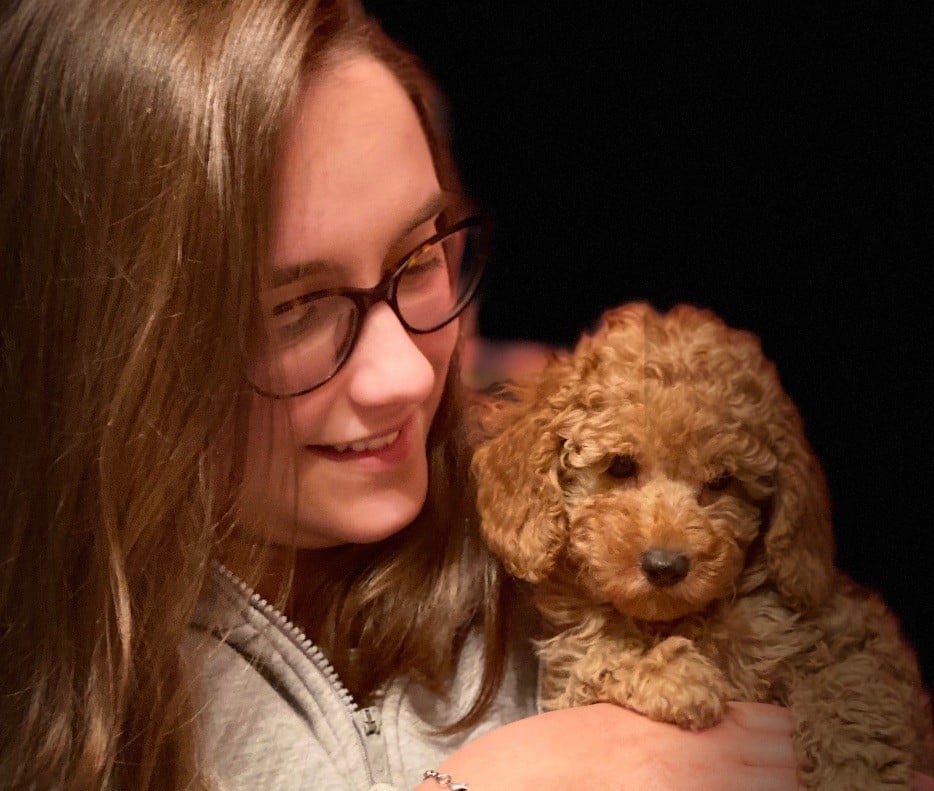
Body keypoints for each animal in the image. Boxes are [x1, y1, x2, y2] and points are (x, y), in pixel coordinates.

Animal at [476, 304, 934, 791]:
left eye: (722, 481)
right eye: (619, 466)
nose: (665, 566)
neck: (679, 619)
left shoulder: (857, 635)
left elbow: (851, 694)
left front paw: (853, 774)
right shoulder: (568, 678)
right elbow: (597, 656)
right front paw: (678, 679)